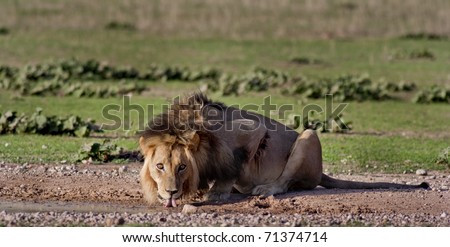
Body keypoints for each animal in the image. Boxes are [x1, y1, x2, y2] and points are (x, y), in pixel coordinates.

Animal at [138, 92, 428, 206]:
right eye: (160, 166)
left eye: (182, 167)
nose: (170, 192)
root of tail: (321, 172)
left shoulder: (250, 131)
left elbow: (234, 166)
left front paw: (217, 192)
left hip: (308, 136)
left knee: (286, 182)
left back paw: (264, 189)